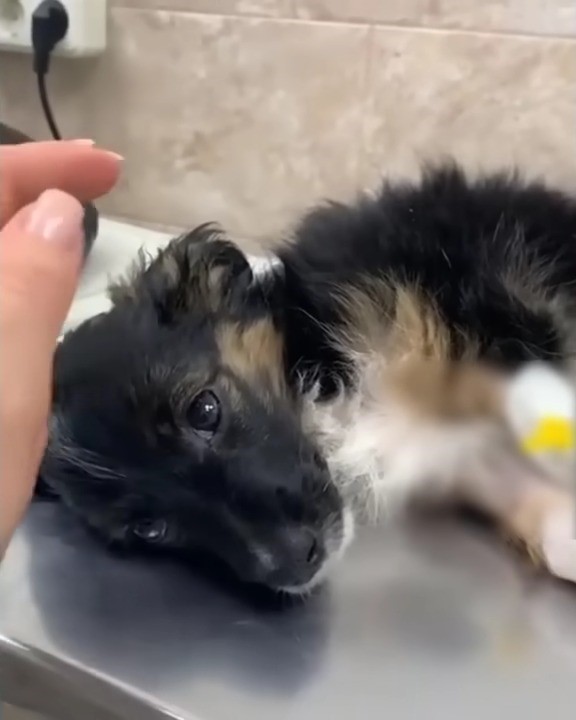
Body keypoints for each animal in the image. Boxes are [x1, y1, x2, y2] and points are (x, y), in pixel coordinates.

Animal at [39, 166, 576, 592]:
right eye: (149, 529)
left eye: (204, 409)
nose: (296, 563)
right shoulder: (465, 456)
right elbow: (542, 517)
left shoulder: (474, 299)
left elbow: (524, 389)